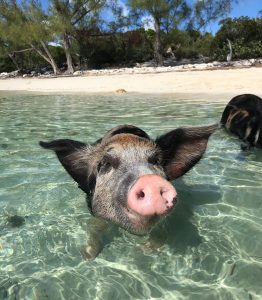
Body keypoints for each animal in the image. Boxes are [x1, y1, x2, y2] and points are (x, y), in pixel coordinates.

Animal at [40, 123, 217, 258]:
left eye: (155, 160)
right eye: (106, 163)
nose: (150, 180)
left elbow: (160, 233)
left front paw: (143, 250)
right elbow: (96, 228)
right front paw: (87, 256)